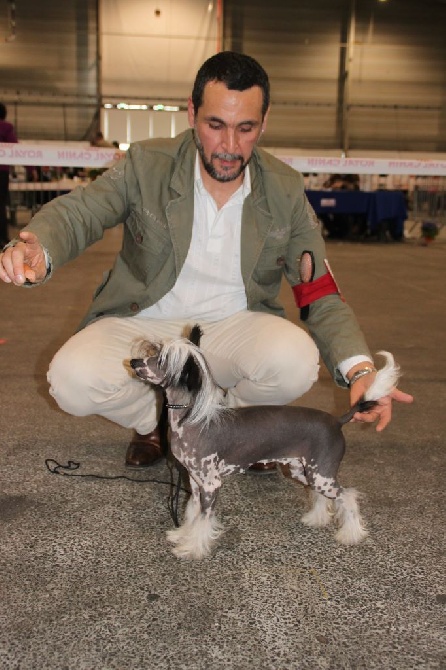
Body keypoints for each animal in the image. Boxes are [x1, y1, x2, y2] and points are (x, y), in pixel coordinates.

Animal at [129, 326, 400, 560]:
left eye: (160, 360)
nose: (133, 362)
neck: (193, 417)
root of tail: (336, 420)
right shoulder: (195, 484)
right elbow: (192, 513)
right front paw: (183, 535)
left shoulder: (210, 484)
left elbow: (203, 520)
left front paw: (193, 549)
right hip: (304, 471)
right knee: (322, 495)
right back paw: (317, 519)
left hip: (321, 474)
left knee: (348, 497)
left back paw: (351, 534)